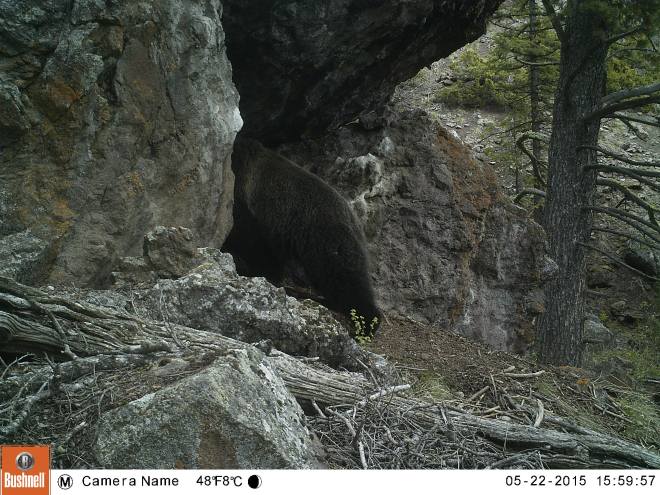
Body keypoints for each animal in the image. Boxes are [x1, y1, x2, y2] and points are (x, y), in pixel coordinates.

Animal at [224, 137, 382, 336]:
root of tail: (354, 219)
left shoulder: (248, 209)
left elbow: (251, 244)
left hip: (324, 240)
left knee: (344, 279)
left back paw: (364, 323)